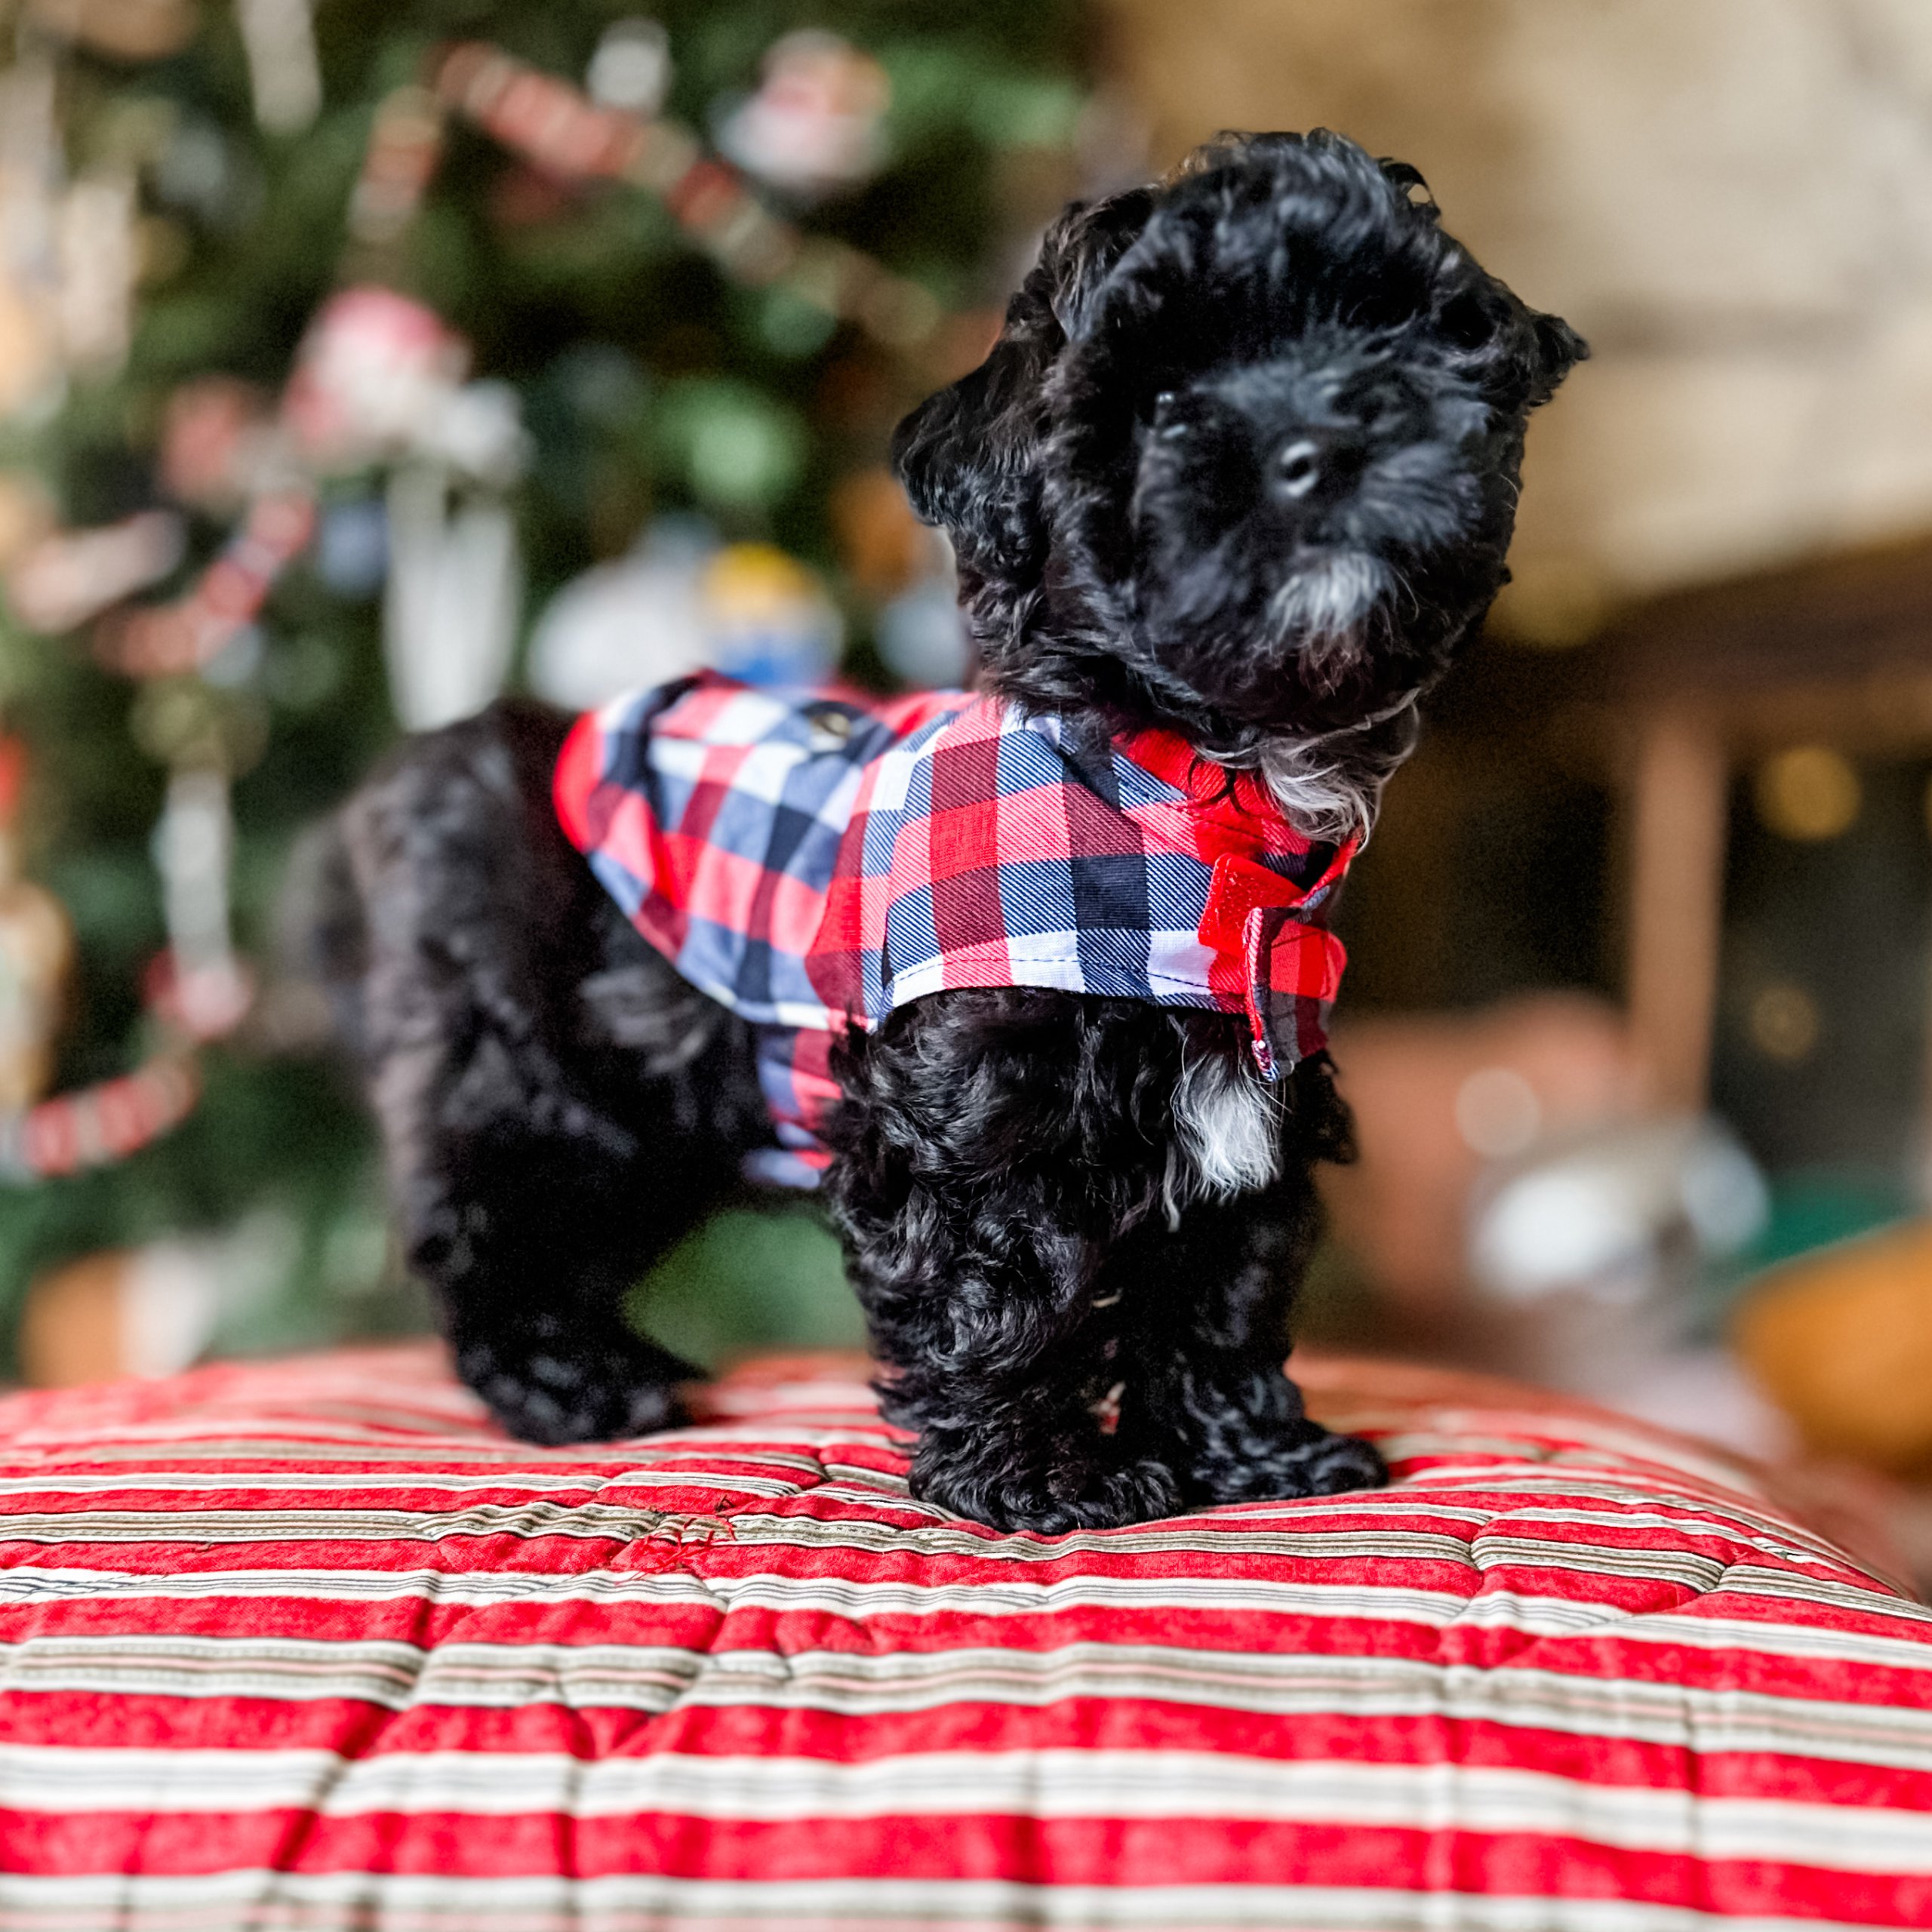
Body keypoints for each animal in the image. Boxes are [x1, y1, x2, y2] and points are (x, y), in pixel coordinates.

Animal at [320, 128, 1584, 1530]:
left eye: (1383, 333)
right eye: (1160, 401)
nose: (1322, 441)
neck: (1179, 789)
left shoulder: (1255, 1105)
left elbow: (1222, 1294)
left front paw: (1253, 1456)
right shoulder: (968, 1112)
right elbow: (1002, 1286)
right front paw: (1043, 1479)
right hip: (532, 1085)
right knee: (493, 1242)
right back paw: (572, 1385)